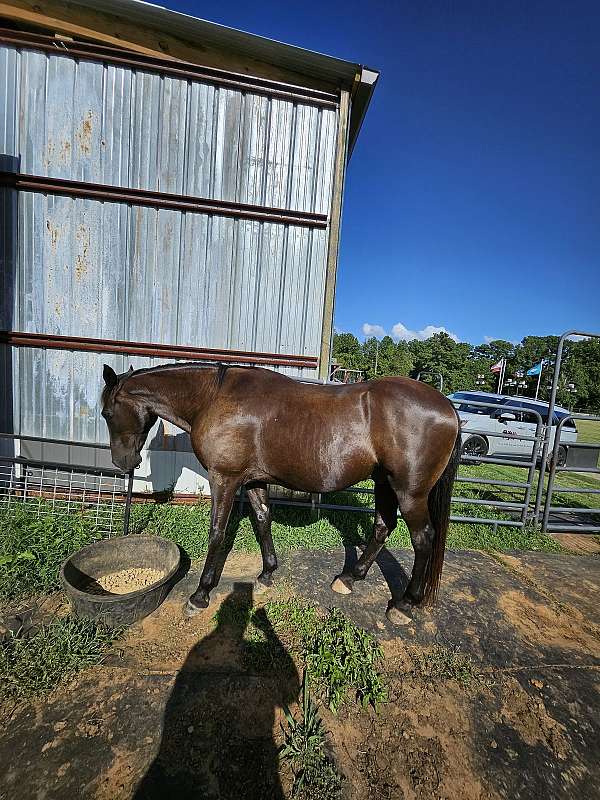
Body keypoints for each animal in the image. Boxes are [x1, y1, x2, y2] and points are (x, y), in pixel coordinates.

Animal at [102, 364, 460, 624]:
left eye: (106, 413)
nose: (123, 462)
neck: (213, 397)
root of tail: (449, 408)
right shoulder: (252, 480)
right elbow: (262, 520)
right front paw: (266, 574)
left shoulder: (225, 479)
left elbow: (217, 533)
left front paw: (200, 595)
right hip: (384, 482)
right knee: (383, 527)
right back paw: (349, 578)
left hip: (409, 492)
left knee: (423, 538)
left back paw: (405, 604)